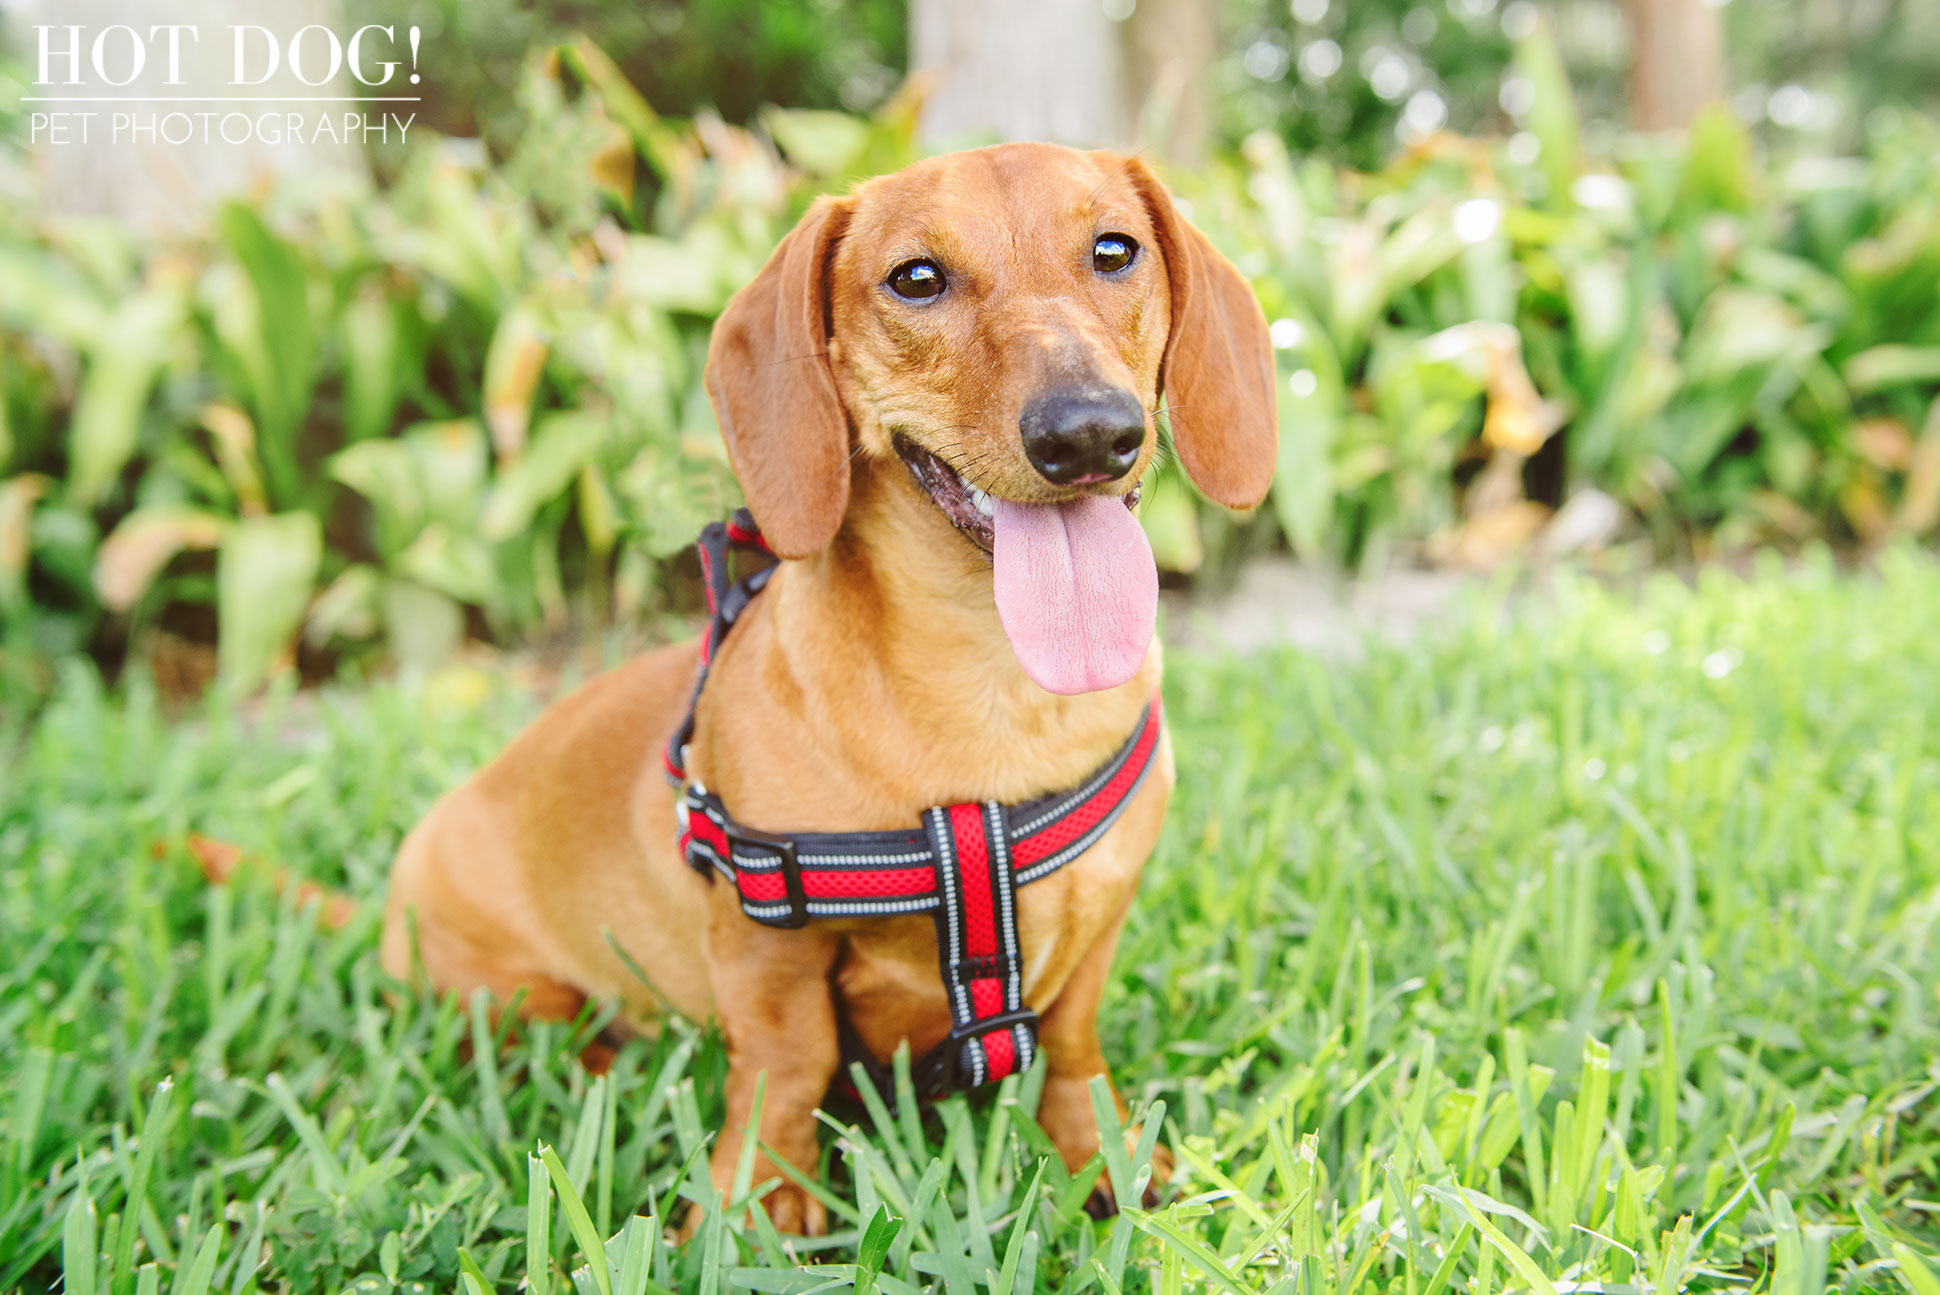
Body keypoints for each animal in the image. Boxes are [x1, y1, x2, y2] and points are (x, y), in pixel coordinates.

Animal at [382, 141, 1272, 1232]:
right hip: (504, 990)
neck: (993, 690)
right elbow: (786, 1062)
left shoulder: (1101, 917)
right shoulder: (767, 947)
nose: (1088, 434)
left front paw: (1093, 1149)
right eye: (916, 278)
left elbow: (1071, 1044)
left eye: (1114, 251)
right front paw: (755, 1203)